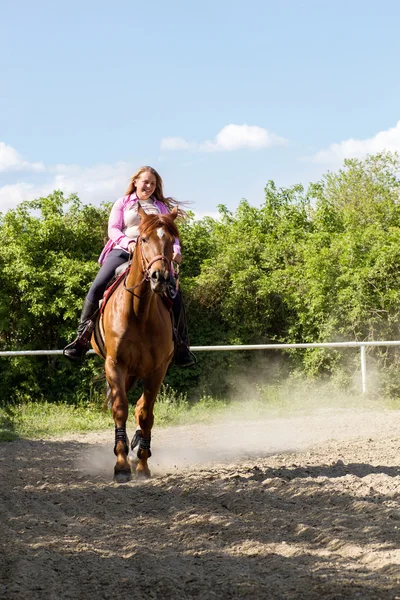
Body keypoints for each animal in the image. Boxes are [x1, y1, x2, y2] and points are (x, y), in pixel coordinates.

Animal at [91, 206, 179, 482]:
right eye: (144, 239)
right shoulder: (115, 365)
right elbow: (120, 409)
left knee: (141, 406)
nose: (159, 277)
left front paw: (142, 464)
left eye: (171, 241)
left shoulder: (157, 369)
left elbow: (145, 413)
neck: (139, 312)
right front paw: (121, 466)